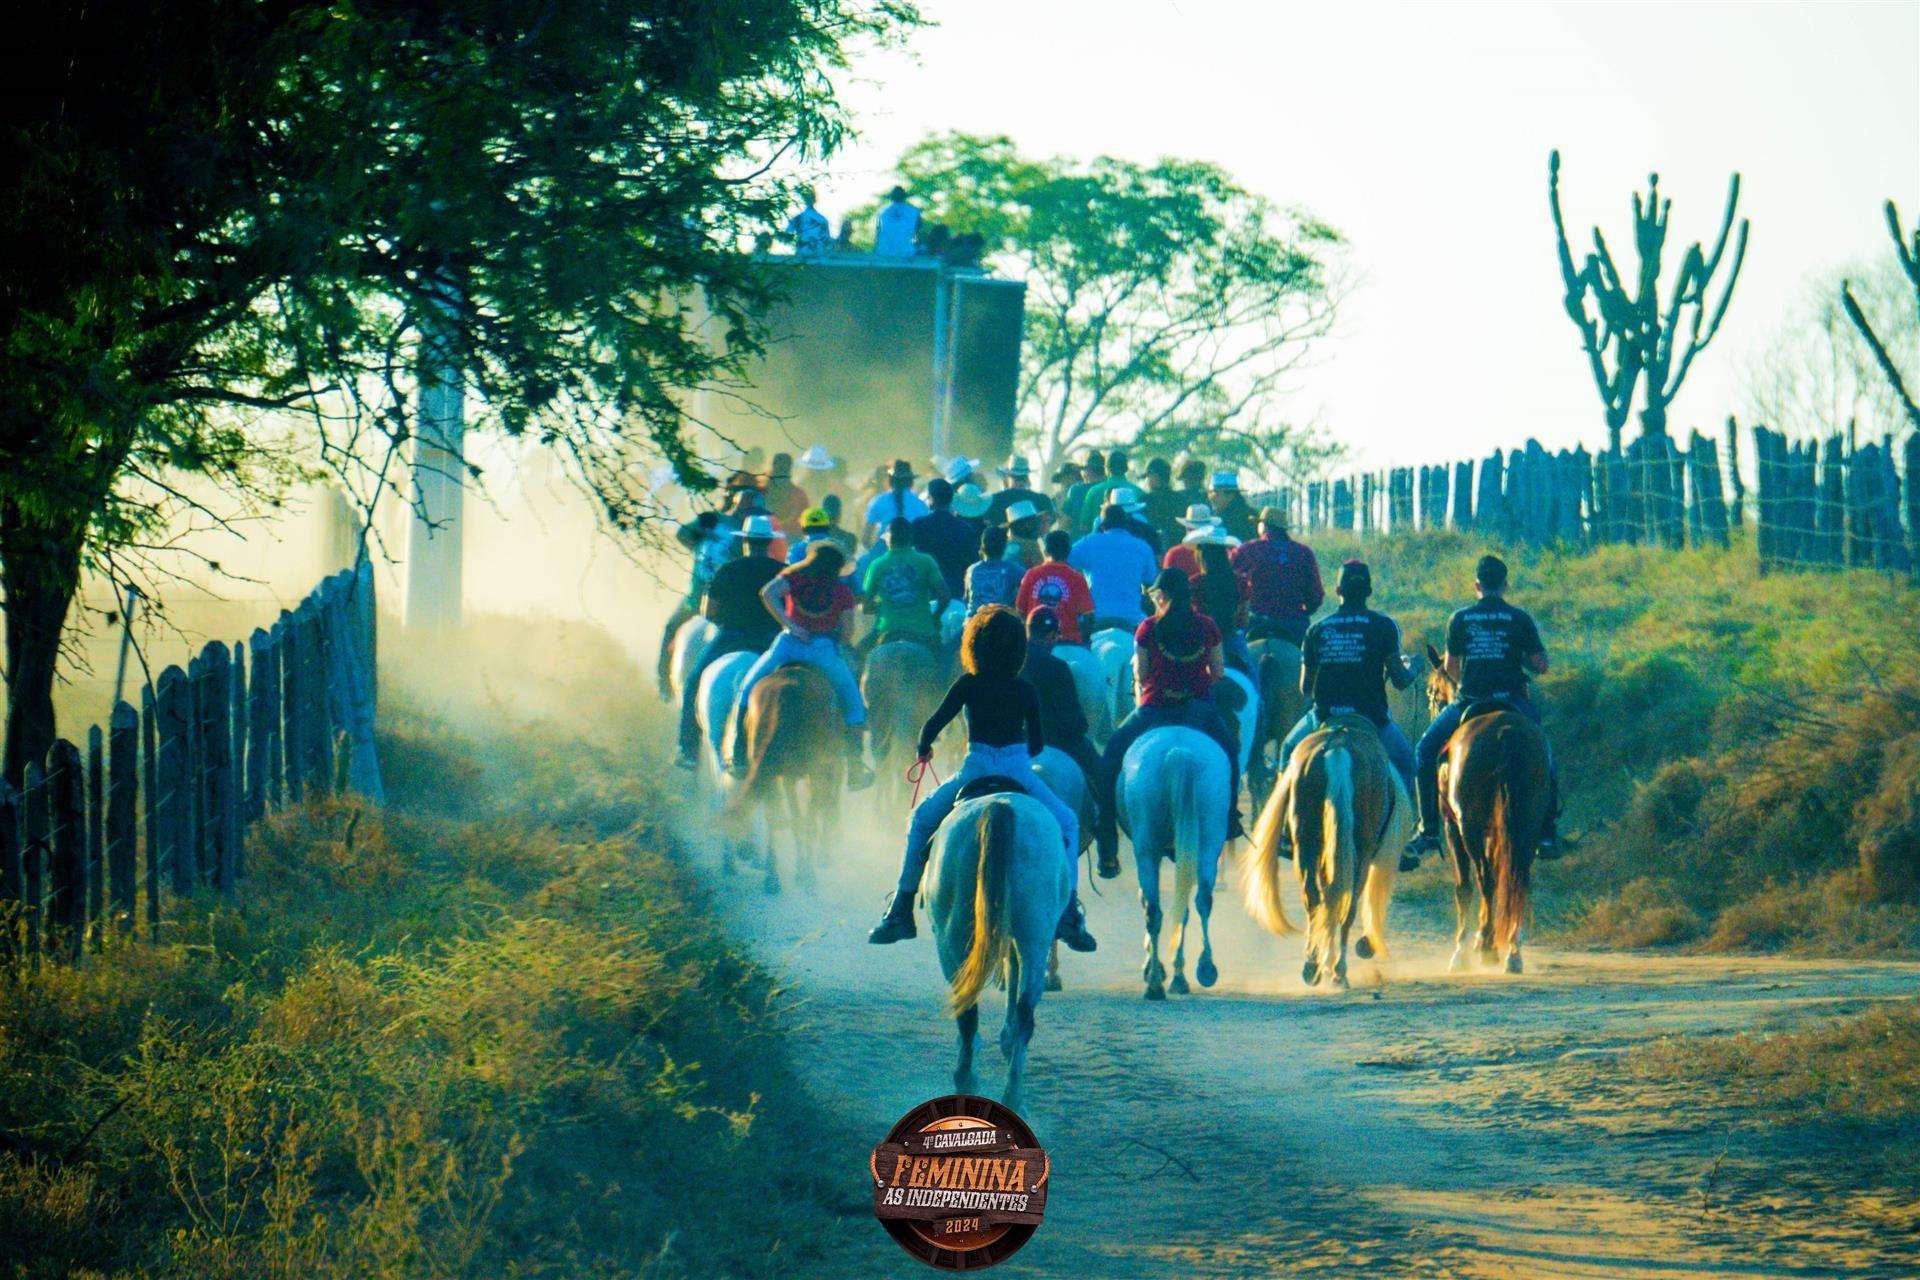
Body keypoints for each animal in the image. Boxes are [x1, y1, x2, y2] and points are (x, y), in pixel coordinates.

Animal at [730, 664, 842, 892]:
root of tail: (785, 692)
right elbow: (808, 818)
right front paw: (806, 869)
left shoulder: (788, 777)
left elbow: (795, 817)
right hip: (815, 771)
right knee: (809, 818)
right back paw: (808, 875)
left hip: (768, 770)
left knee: (774, 815)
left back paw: (772, 878)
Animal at [928, 792, 1073, 1108]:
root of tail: (999, 806)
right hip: (1033, 934)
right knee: (1024, 1012)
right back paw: (1013, 1096)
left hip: (951, 936)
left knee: (968, 1012)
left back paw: (967, 1080)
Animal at [1116, 726, 1231, 1000]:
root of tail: (1179, 751)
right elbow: (1184, 910)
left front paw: (1154, 966)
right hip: (1209, 836)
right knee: (1202, 900)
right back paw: (1204, 969)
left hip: (1146, 845)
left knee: (1152, 909)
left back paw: (1156, 983)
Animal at [1243, 713, 1409, 989]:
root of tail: (1338, 747)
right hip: (1360, 852)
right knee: (1347, 903)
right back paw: (1339, 970)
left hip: (1307, 844)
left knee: (1314, 897)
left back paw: (1312, 967)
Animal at [1423, 646, 1548, 975]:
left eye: (1431, 692)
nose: (1434, 707)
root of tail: (1505, 731)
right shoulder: (1496, 830)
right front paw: (1482, 936)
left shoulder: (1454, 827)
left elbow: (1464, 886)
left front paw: (1466, 947)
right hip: (1527, 823)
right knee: (1518, 878)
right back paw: (1513, 951)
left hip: (1469, 826)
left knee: (1485, 878)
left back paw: (1488, 950)